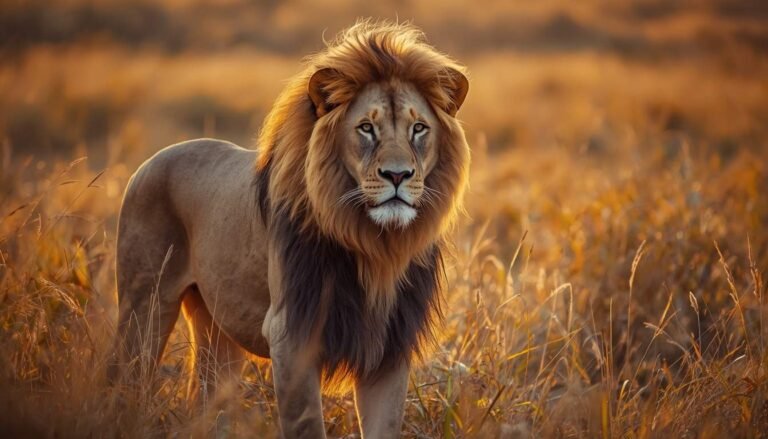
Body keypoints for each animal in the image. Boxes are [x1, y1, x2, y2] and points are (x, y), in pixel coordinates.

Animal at [109, 21, 470, 438]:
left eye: (419, 129)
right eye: (366, 128)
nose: (398, 175)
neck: (375, 247)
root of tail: (150, 160)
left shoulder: (389, 347)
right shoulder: (291, 337)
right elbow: (306, 425)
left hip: (218, 331)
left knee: (207, 402)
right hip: (144, 307)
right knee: (122, 382)